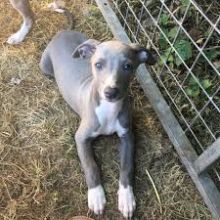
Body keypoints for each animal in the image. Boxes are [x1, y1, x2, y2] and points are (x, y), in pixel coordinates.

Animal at [40, 30, 156, 218]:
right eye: (98, 65)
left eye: (128, 66)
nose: (110, 92)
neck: (108, 109)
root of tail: (63, 31)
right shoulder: (81, 137)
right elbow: (90, 166)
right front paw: (96, 195)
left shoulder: (128, 136)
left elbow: (127, 166)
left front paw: (126, 198)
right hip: (45, 66)